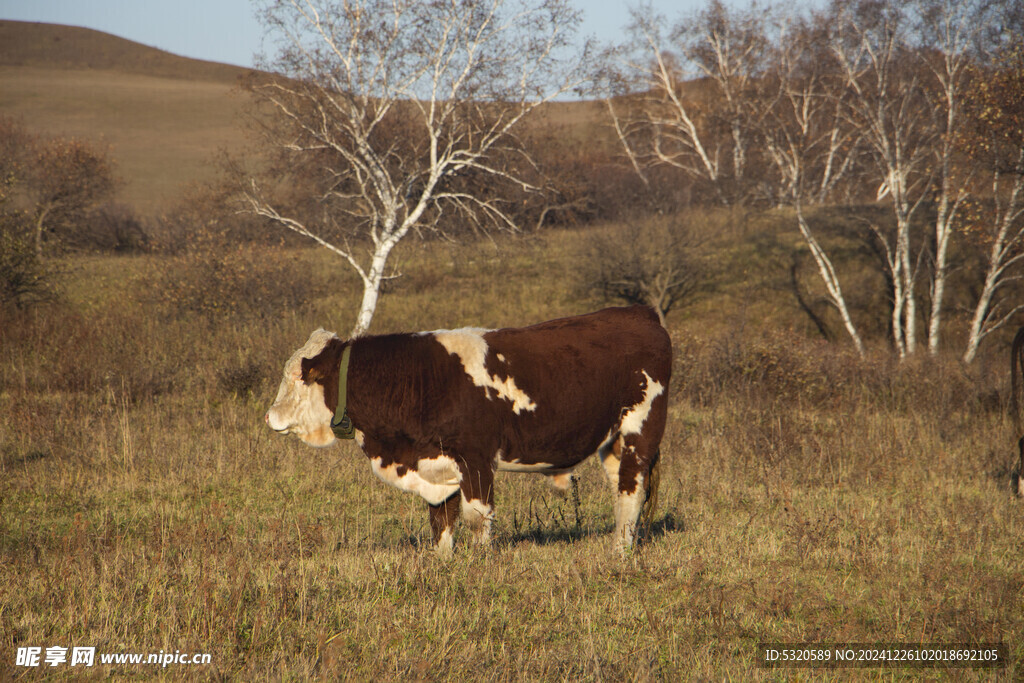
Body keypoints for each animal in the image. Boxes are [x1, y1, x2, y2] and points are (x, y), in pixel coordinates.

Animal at [266, 307, 671, 552]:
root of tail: (639, 313)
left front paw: (479, 562)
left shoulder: (476, 458)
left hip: (640, 430)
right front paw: (443, 561)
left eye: (299, 377)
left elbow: (477, 517)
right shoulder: (435, 461)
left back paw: (619, 553)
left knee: (632, 491)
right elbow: (441, 519)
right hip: (612, 442)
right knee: (622, 493)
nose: (270, 416)